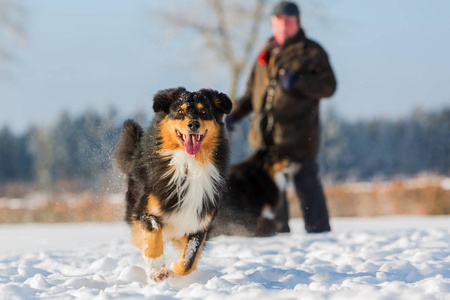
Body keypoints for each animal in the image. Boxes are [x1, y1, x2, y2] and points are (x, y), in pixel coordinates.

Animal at [115, 87, 232, 282]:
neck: (189, 164)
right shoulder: (144, 210)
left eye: (203, 112)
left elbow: (188, 261)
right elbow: (153, 231)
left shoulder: (200, 221)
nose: (193, 124)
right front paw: (156, 263)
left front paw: (173, 270)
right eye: (180, 111)